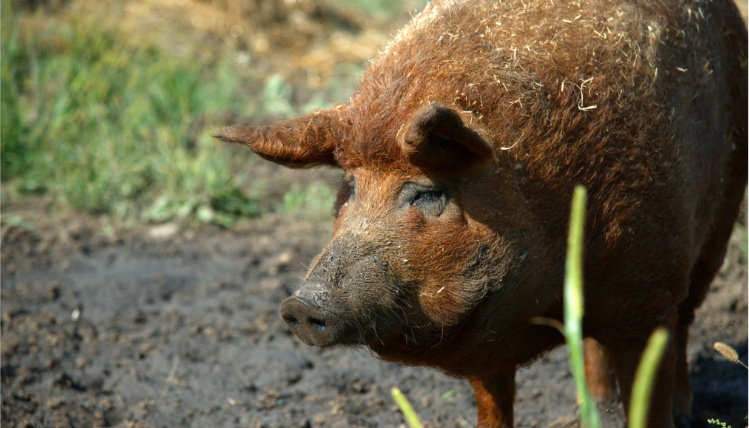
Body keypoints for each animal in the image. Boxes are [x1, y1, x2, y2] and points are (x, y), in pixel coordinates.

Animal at [213, 0, 744, 428]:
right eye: (350, 187)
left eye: (428, 193)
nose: (304, 304)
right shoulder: (486, 350)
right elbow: (494, 406)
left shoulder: (647, 296)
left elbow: (648, 389)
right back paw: (593, 409)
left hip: (719, 224)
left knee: (685, 320)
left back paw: (681, 411)